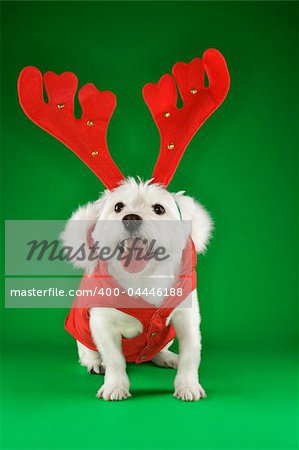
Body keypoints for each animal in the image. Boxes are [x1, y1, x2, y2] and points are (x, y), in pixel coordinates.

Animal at [61, 177, 213, 400]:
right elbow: (115, 359)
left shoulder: (187, 318)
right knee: (87, 349)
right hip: (81, 327)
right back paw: (95, 362)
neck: (143, 278)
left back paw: (166, 357)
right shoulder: (102, 324)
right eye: (118, 207)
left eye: (159, 208)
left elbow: (191, 354)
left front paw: (187, 386)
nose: (131, 218)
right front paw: (115, 386)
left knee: (156, 351)